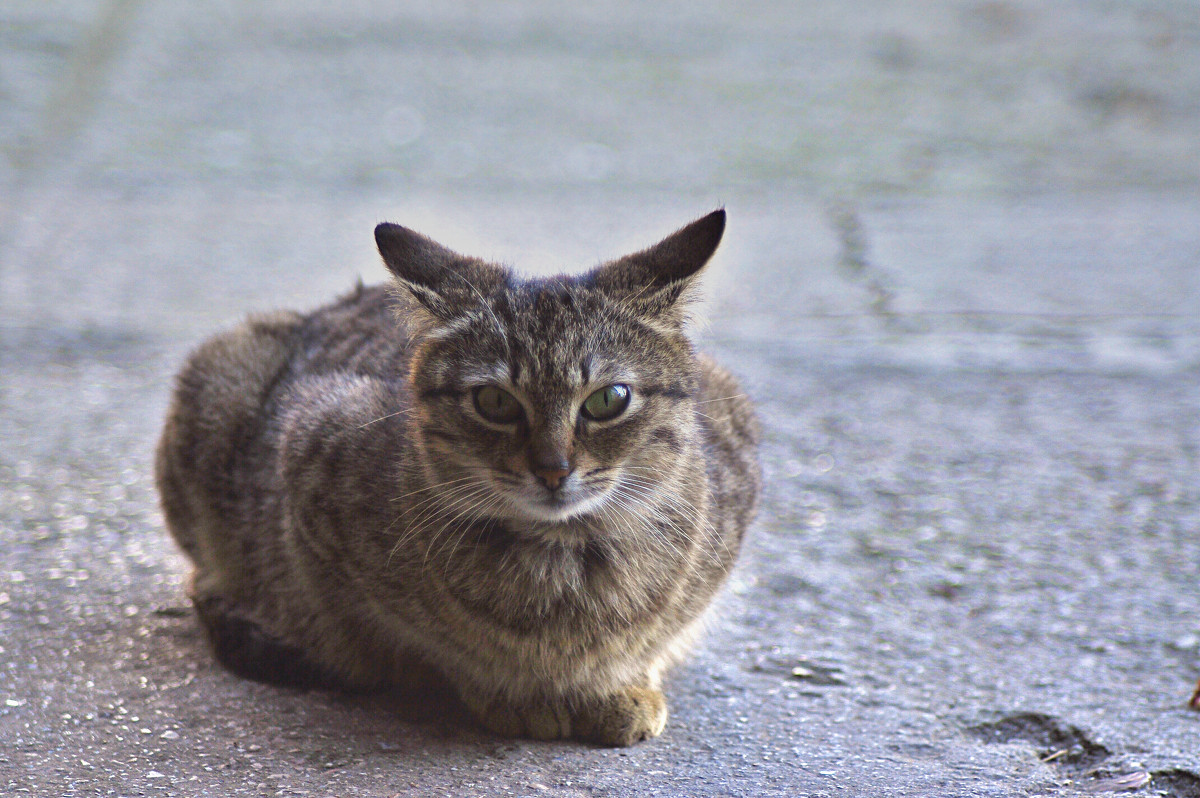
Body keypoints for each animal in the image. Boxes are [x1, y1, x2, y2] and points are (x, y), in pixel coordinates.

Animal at [154, 208, 758, 744]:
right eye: (494, 402)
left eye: (609, 399)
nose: (553, 469)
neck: (561, 562)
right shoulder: (309, 466)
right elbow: (433, 648)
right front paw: (517, 696)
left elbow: (651, 642)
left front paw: (625, 686)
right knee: (206, 583)